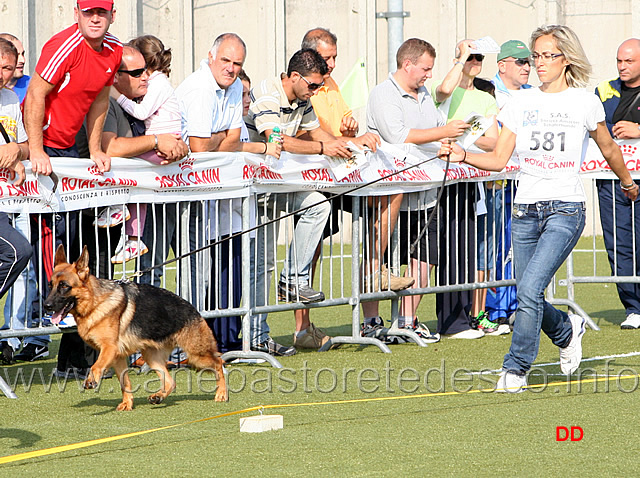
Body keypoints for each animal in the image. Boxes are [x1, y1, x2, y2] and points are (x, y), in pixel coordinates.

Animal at [43, 246, 228, 410]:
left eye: (64, 286)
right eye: (50, 285)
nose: (46, 306)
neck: (95, 303)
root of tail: (193, 309)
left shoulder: (108, 349)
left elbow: (96, 366)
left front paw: (91, 380)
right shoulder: (116, 357)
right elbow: (124, 382)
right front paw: (127, 404)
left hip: (197, 355)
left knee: (218, 363)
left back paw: (222, 393)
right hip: (151, 357)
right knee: (170, 381)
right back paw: (159, 396)